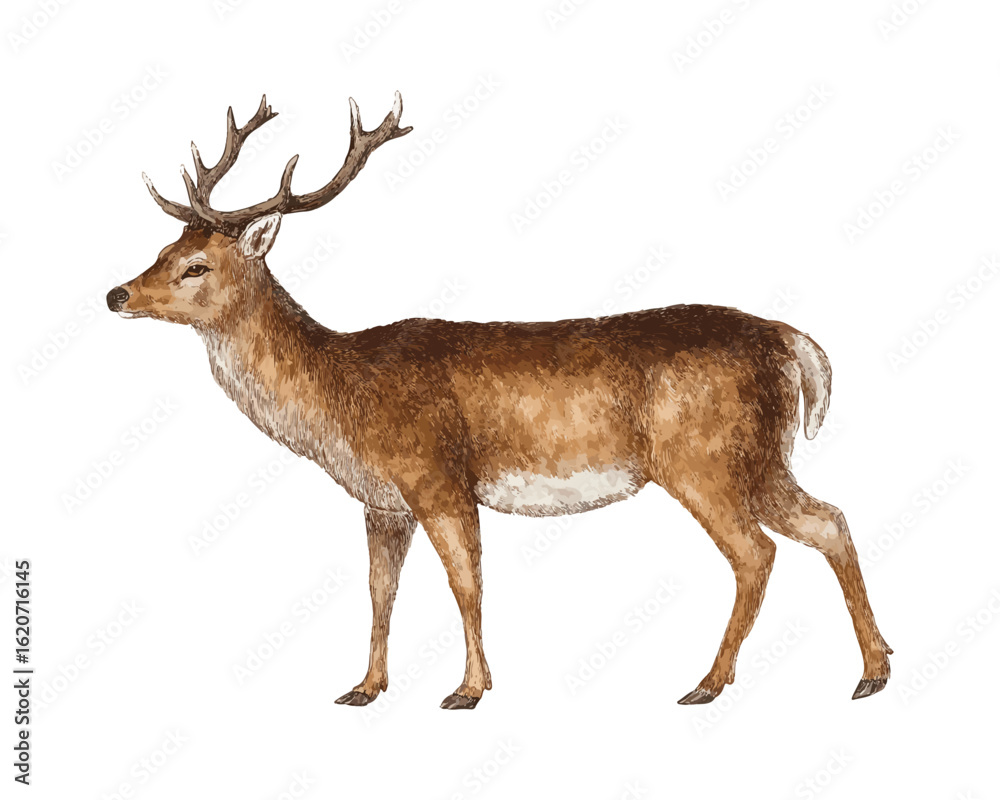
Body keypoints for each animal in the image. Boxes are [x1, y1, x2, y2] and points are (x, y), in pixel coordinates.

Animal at [108, 91, 892, 710]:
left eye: (196, 265)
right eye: (161, 249)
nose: (116, 293)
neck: (343, 397)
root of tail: (791, 341)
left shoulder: (438, 476)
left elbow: (466, 584)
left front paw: (468, 689)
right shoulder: (382, 501)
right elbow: (379, 591)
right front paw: (364, 687)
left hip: (703, 457)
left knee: (757, 553)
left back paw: (708, 681)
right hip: (761, 455)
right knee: (829, 520)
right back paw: (873, 671)